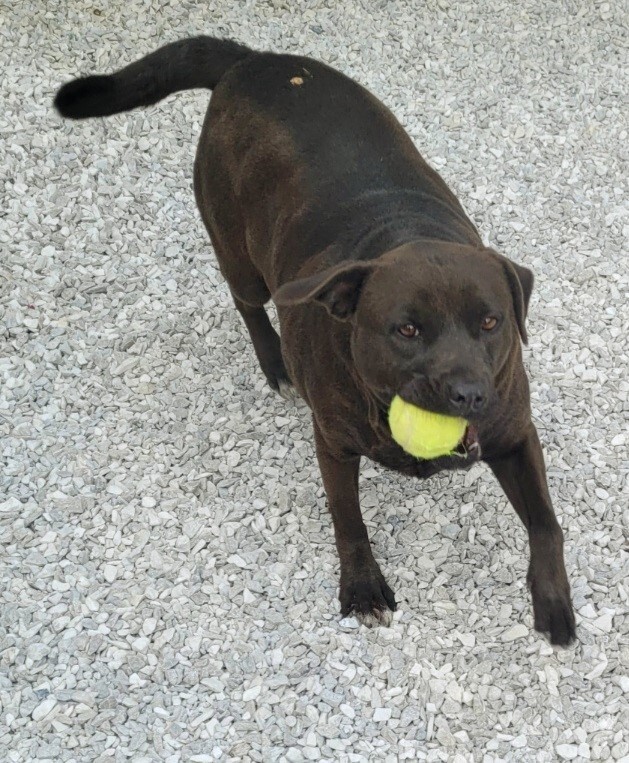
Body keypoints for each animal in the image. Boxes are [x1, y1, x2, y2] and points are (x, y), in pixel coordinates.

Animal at [56, 35, 576, 644]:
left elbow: (547, 524)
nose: (468, 394)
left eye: (491, 323)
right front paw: (363, 587)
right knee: (247, 302)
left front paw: (553, 600)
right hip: (237, 251)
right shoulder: (332, 443)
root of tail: (251, 59)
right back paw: (274, 364)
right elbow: (347, 520)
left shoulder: (515, 433)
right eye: (406, 329)